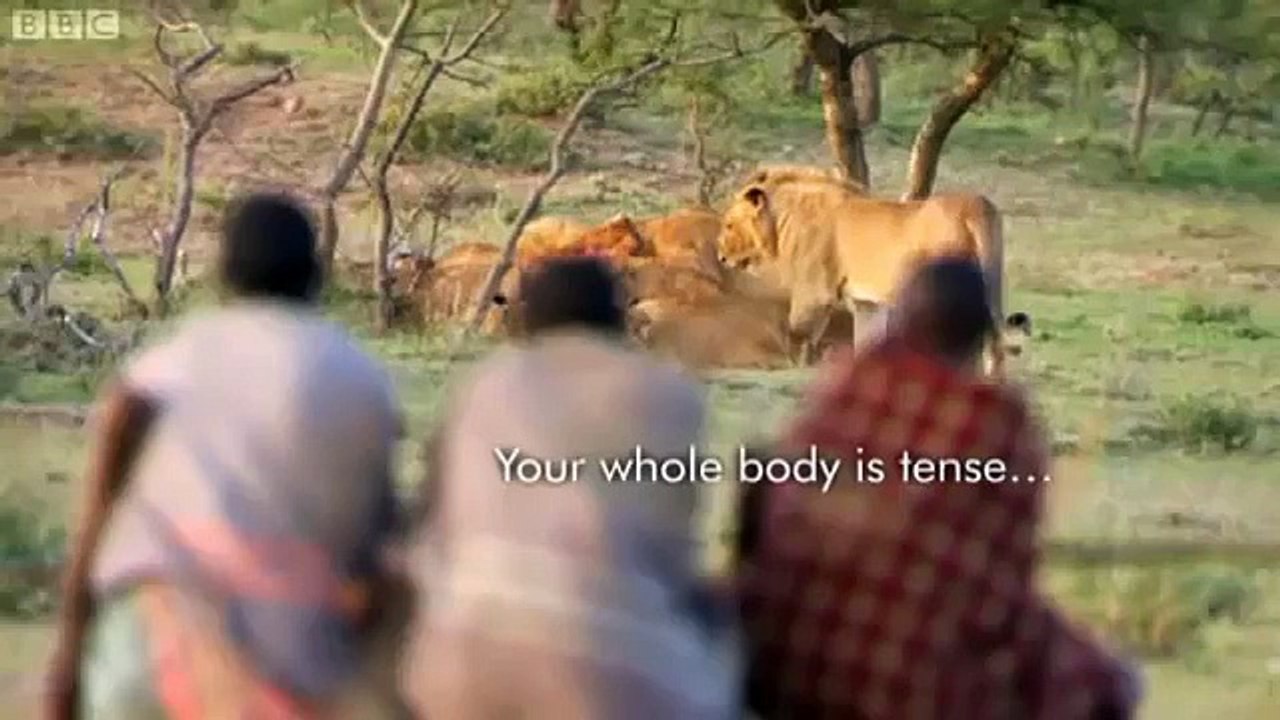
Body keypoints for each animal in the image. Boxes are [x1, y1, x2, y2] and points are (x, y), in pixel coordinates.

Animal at [717, 174, 1017, 372]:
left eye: (729, 225)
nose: (720, 256)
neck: (782, 222)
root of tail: (975, 205)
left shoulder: (814, 292)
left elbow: (799, 332)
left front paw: (794, 366)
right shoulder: (867, 304)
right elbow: (865, 341)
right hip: (992, 288)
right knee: (993, 348)